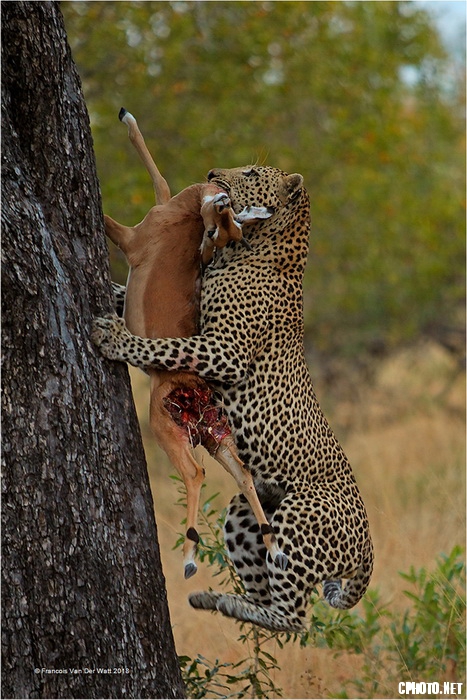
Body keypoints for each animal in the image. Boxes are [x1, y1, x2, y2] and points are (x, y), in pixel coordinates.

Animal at [92, 164, 374, 633]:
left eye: (253, 172)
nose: (212, 172)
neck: (254, 247)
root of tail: (369, 546)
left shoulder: (225, 350)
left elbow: (168, 347)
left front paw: (116, 339)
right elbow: (130, 299)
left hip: (296, 515)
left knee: (297, 619)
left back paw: (216, 599)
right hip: (244, 513)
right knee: (271, 597)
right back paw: (213, 600)